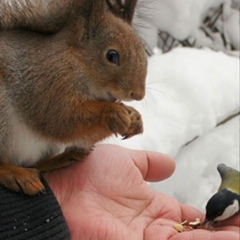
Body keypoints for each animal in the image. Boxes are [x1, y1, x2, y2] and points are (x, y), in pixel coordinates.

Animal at [0, 0, 147, 195]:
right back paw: (16, 174)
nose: (138, 95)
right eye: (112, 55)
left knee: (36, 164)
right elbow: (62, 120)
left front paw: (135, 117)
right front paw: (112, 112)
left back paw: (63, 158)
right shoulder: (47, 84)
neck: (77, 63)